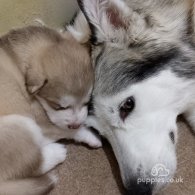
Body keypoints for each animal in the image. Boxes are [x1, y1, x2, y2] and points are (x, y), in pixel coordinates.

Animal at [0, 25, 100, 194]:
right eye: (59, 106)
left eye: (87, 102)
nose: (75, 124)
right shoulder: (40, 120)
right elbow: (67, 130)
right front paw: (91, 136)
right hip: (22, 123)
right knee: (34, 164)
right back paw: (56, 152)